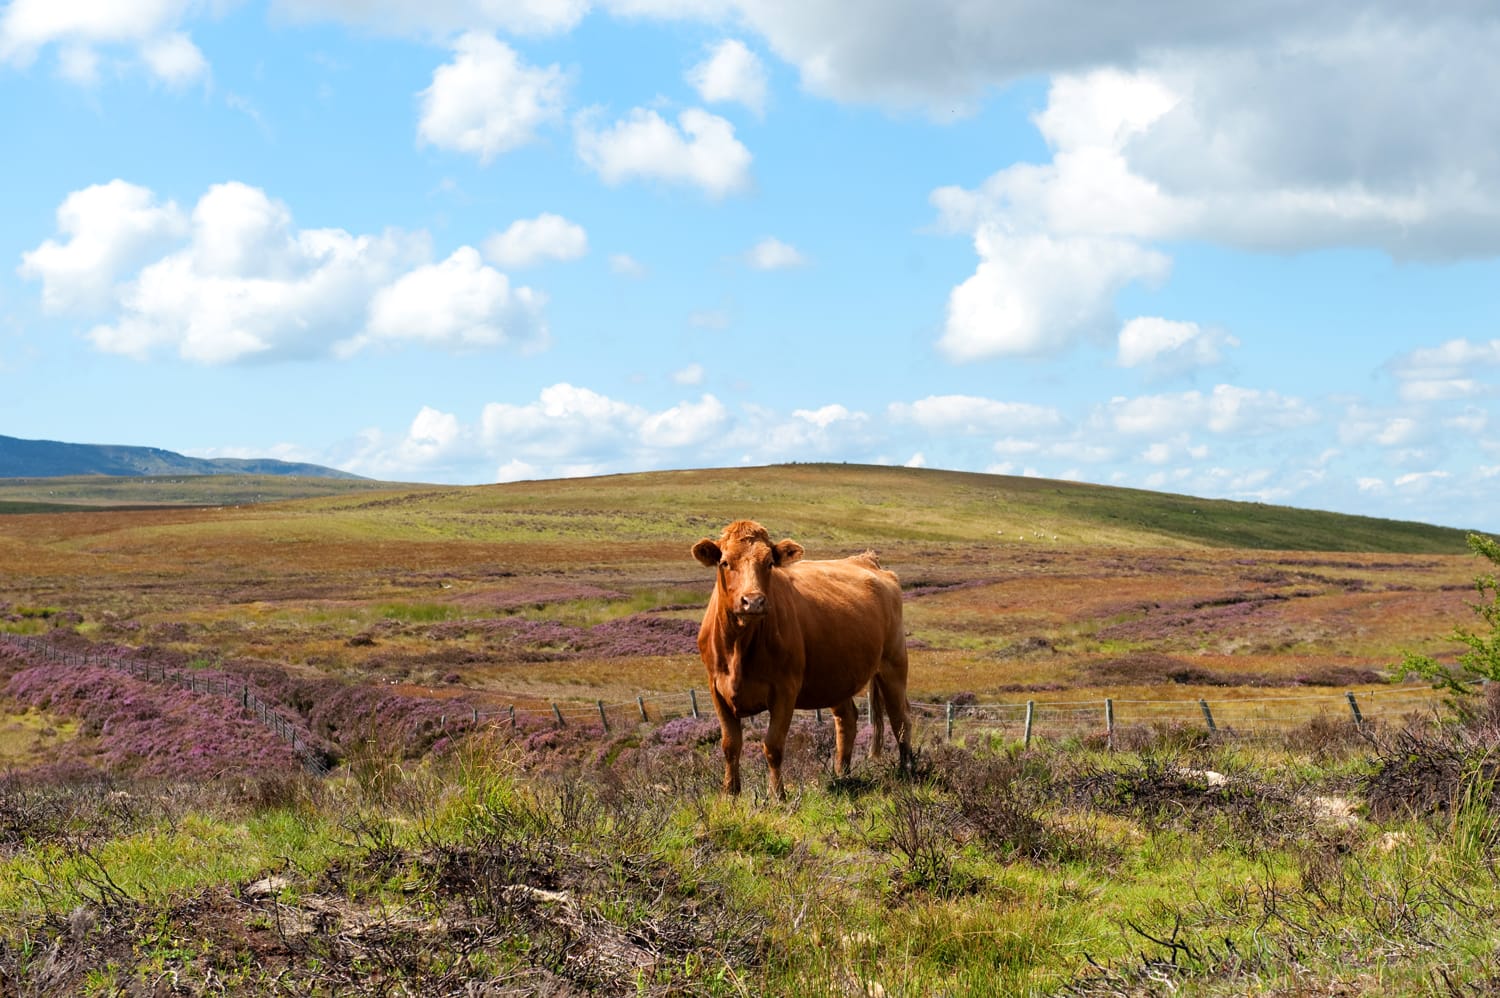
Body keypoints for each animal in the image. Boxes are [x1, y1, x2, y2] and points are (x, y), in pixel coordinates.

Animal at [691, 520, 914, 799]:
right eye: (725, 562)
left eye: (769, 563)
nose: (753, 601)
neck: (738, 648)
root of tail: (866, 560)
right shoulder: (716, 688)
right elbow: (730, 745)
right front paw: (730, 793)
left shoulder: (785, 689)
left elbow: (773, 745)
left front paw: (778, 795)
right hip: (837, 677)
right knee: (847, 721)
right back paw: (842, 775)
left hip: (893, 664)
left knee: (900, 718)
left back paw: (906, 772)